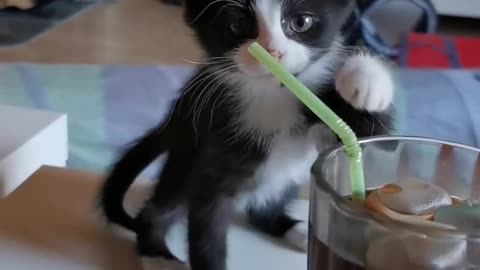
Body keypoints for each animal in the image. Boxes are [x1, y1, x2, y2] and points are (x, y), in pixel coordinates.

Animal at [100, 0, 394, 270]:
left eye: (301, 22)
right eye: (238, 25)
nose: (273, 51)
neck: (274, 94)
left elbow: (374, 142)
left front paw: (365, 80)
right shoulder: (213, 153)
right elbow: (207, 230)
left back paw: (295, 229)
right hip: (187, 151)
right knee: (161, 205)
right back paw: (157, 256)